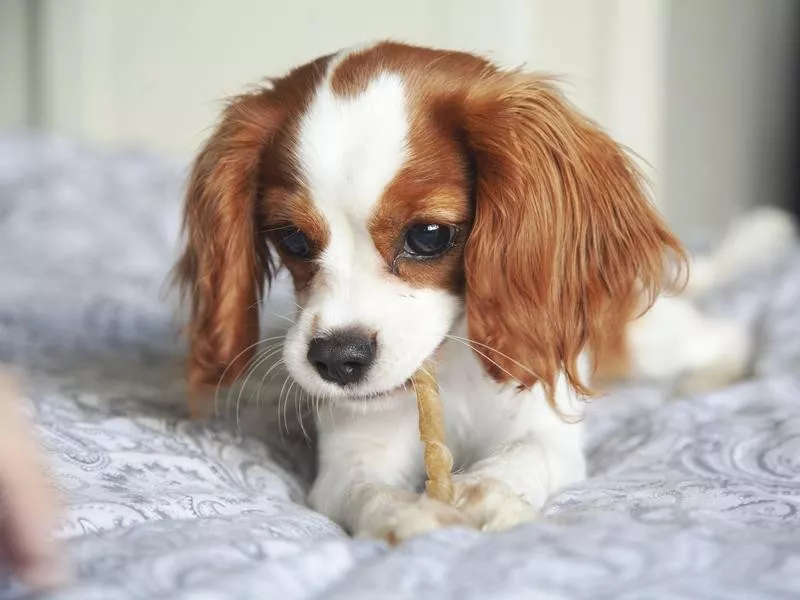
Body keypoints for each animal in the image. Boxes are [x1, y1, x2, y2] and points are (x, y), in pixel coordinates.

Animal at [175, 41, 756, 540]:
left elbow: (526, 454)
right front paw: (409, 514)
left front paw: (486, 493)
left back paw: (710, 379)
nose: (337, 359)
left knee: (728, 334)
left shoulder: (547, 425)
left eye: (428, 235)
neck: (449, 364)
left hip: (645, 342)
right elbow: (366, 489)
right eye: (293, 238)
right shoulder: (354, 453)